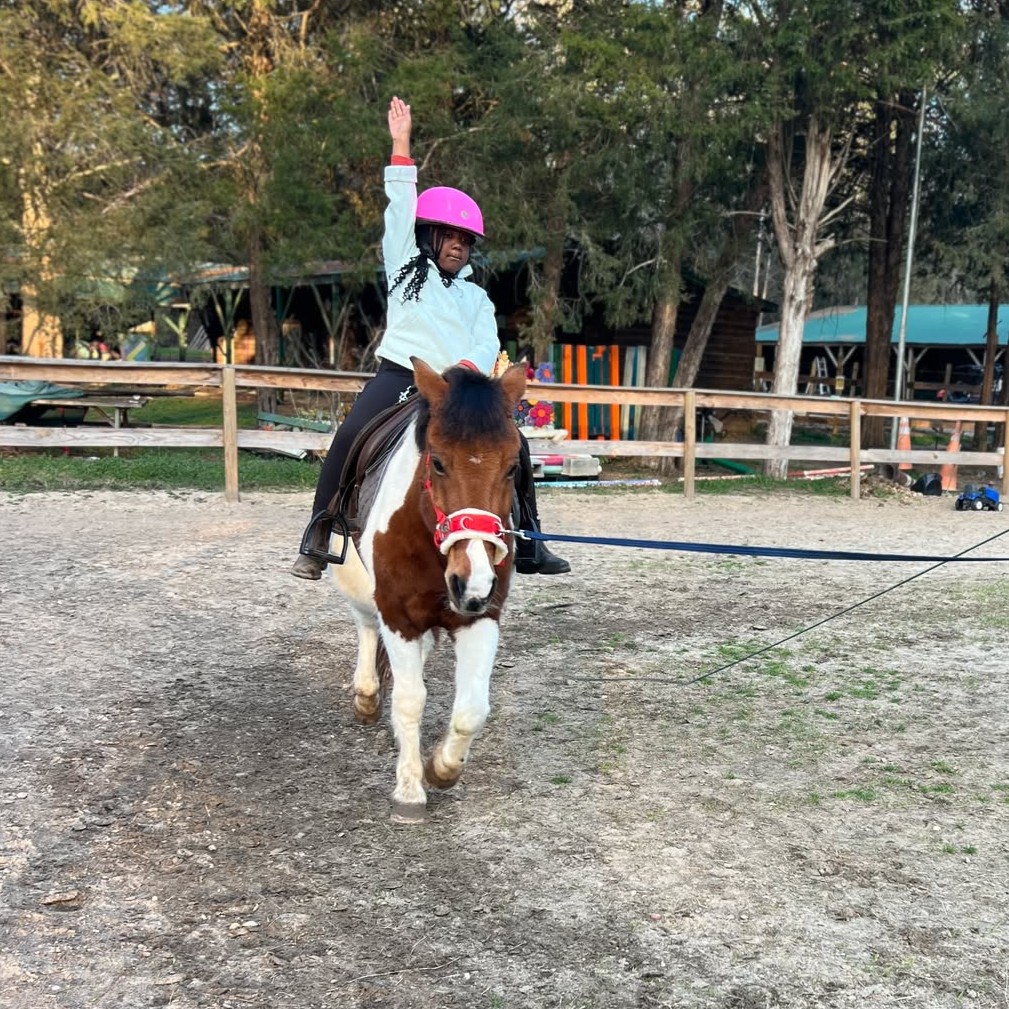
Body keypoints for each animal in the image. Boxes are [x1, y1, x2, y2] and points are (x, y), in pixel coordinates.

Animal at [330, 356, 528, 823]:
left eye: (513, 466)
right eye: (437, 462)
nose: (471, 581)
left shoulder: (480, 617)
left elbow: (472, 709)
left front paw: (441, 767)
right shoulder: (397, 616)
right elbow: (409, 700)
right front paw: (409, 792)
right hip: (354, 580)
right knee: (366, 626)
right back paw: (367, 695)